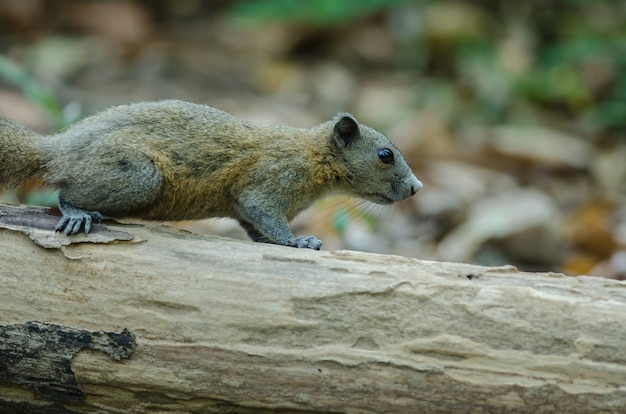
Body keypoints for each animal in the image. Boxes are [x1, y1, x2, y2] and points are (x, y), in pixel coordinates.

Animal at [0, 100, 422, 249]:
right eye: (385, 155)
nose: (416, 187)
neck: (313, 157)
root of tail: (58, 149)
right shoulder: (271, 179)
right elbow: (263, 212)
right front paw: (299, 242)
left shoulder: (246, 209)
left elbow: (254, 226)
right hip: (139, 175)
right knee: (64, 192)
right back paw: (76, 213)